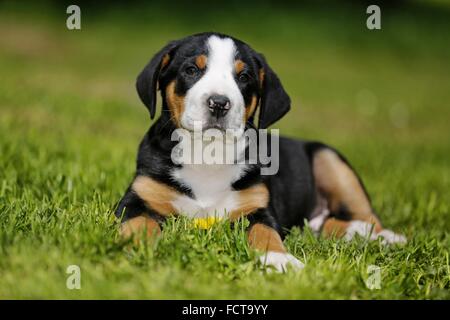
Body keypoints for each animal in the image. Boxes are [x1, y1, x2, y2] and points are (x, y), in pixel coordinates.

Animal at [115, 33, 404, 272]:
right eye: (191, 70)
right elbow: (139, 225)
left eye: (243, 78)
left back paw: (383, 235)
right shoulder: (138, 200)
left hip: (329, 158)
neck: (208, 152)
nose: (219, 103)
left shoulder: (258, 209)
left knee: (367, 214)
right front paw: (140, 247)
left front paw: (278, 259)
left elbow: (265, 232)